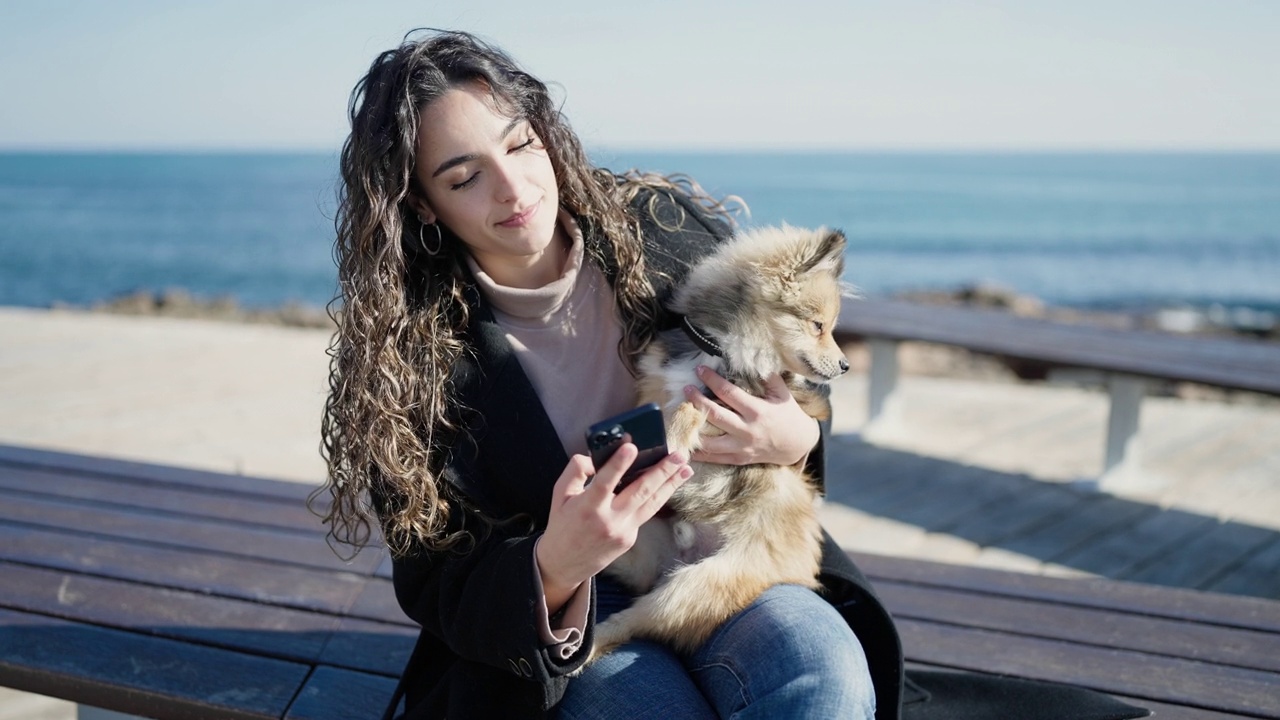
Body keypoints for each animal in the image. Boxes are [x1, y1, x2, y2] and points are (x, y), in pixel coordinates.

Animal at [586, 221, 849, 661]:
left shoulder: (742, 401)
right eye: (818, 326)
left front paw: (674, 437)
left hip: (693, 586)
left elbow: (694, 404)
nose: (846, 365)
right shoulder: (654, 383)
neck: (722, 351)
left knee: (633, 621)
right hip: (640, 545)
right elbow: (675, 401)